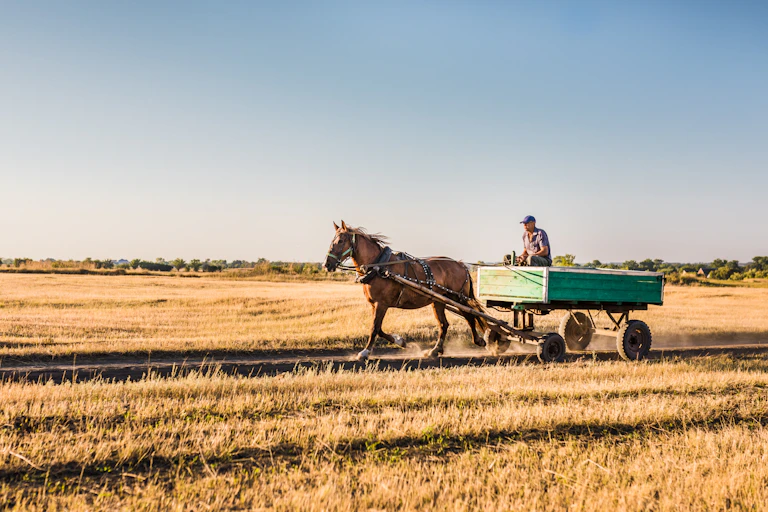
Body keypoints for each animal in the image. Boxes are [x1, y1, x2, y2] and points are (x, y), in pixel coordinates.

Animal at [323, 220, 488, 360]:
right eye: (332, 241)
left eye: (340, 241)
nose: (327, 264)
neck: (378, 265)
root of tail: (461, 265)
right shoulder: (374, 304)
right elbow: (379, 328)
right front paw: (400, 341)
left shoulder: (381, 304)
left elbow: (375, 328)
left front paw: (365, 352)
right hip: (439, 301)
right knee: (444, 324)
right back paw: (435, 350)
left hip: (458, 297)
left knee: (470, 316)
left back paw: (479, 341)